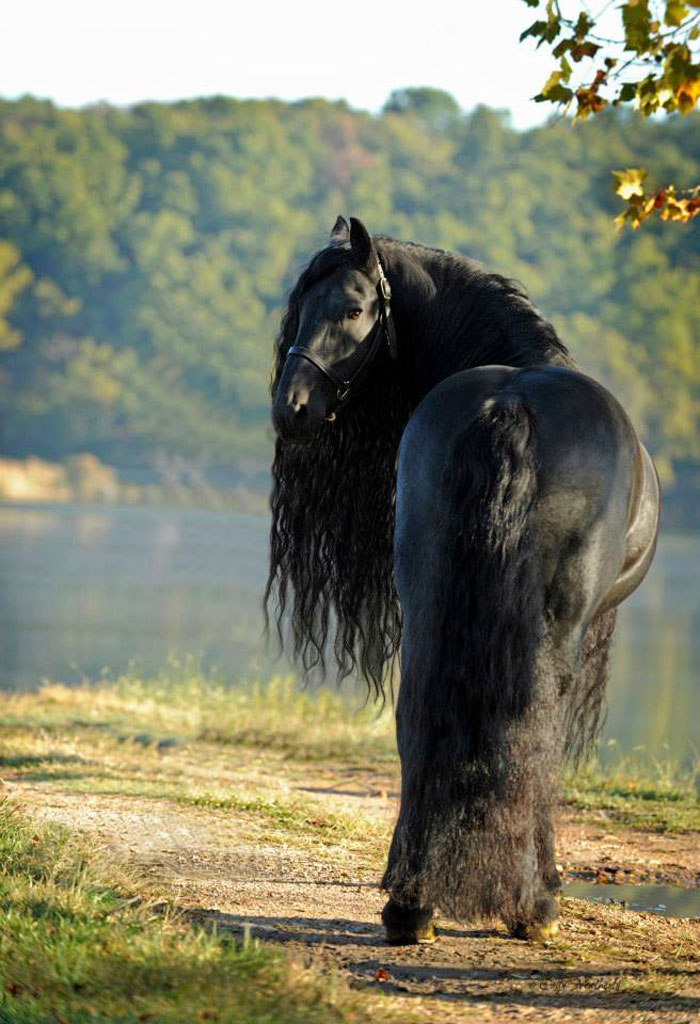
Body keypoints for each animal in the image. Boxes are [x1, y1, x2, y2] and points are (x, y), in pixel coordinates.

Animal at [266, 216, 660, 944]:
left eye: (352, 309)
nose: (292, 407)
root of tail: (510, 407)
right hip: (553, 625)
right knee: (535, 725)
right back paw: (535, 905)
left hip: (430, 599)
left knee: (421, 713)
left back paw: (411, 903)